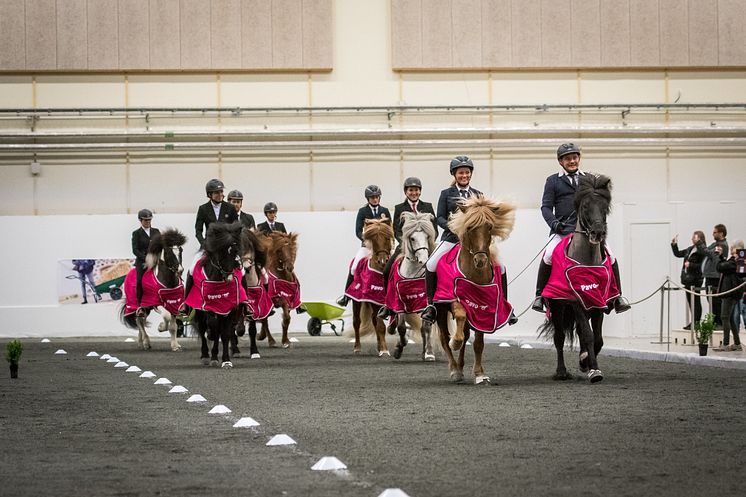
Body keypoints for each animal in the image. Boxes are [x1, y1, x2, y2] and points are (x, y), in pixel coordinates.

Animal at [185, 223, 243, 366]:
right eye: (221, 251)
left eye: (236, 251)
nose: (229, 277)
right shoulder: (208, 307)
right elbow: (213, 327)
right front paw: (213, 355)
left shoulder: (229, 308)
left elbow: (225, 333)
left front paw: (226, 361)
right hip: (199, 311)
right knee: (202, 328)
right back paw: (206, 355)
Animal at [348, 219, 396, 354]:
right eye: (374, 239)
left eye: (387, 238)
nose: (383, 261)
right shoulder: (374, 299)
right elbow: (380, 325)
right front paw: (384, 350)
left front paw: (383, 347)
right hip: (356, 300)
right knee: (357, 321)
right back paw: (357, 347)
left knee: (374, 320)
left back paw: (379, 346)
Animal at [384, 210, 436, 360]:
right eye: (412, 238)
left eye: (427, 236)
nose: (424, 260)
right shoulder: (399, 302)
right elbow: (401, 327)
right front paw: (399, 348)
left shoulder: (424, 303)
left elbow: (426, 327)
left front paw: (429, 353)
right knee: (394, 321)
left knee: (423, 328)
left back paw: (424, 352)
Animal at [422, 195, 516, 384]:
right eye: (470, 227)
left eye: (489, 226)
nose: (480, 261)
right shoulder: (452, 300)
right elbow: (458, 319)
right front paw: (455, 343)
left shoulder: (484, 309)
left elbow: (478, 343)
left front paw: (480, 374)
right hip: (440, 310)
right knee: (445, 337)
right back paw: (455, 370)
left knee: (465, 335)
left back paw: (460, 366)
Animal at [536, 172, 612, 382]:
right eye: (585, 206)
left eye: (605, 207)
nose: (598, 233)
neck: (587, 261)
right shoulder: (576, 301)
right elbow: (587, 334)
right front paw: (594, 371)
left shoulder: (598, 301)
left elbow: (597, 338)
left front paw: (586, 362)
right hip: (557, 306)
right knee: (560, 337)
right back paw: (561, 371)